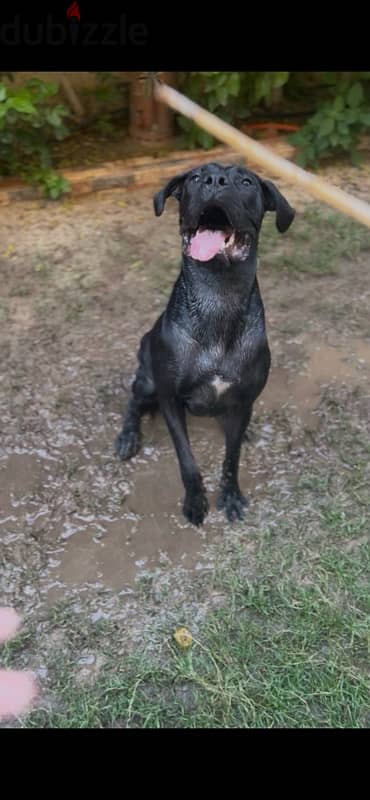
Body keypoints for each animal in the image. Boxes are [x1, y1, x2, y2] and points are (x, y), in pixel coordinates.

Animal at [115, 162, 294, 524]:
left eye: (246, 181)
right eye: (196, 178)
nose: (215, 181)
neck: (218, 297)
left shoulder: (243, 399)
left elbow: (232, 457)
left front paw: (231, 495)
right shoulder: (170, 400)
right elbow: (187, 460)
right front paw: (196, 502)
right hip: (147, 379)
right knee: (133, 401)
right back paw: (128, 436)